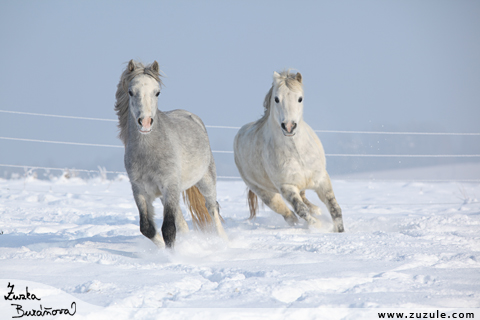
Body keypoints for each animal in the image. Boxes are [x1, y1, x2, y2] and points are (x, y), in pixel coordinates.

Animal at [114, 60, 227, 250]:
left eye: (157, 92)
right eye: (131, 92)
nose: (145, 122)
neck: (149, 153)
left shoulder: (169, 186)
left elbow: (168, 229)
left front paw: (172, 255)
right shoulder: (140, 191)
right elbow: (147, 228)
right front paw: (163, 250)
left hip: (205, 181)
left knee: (212, 208)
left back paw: (223, 240)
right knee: (183, 223)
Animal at [233, 70, 344, 232]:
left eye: (300, 98)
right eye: (276, 99)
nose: (289, 127)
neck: (297, 153)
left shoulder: (322, 179)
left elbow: (334, 207)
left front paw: (339, 230)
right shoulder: (287, 187)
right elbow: (301, 210)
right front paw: (318, 226)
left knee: (304, 200)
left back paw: (317, 210)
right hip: (266, 194)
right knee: (289, 215)